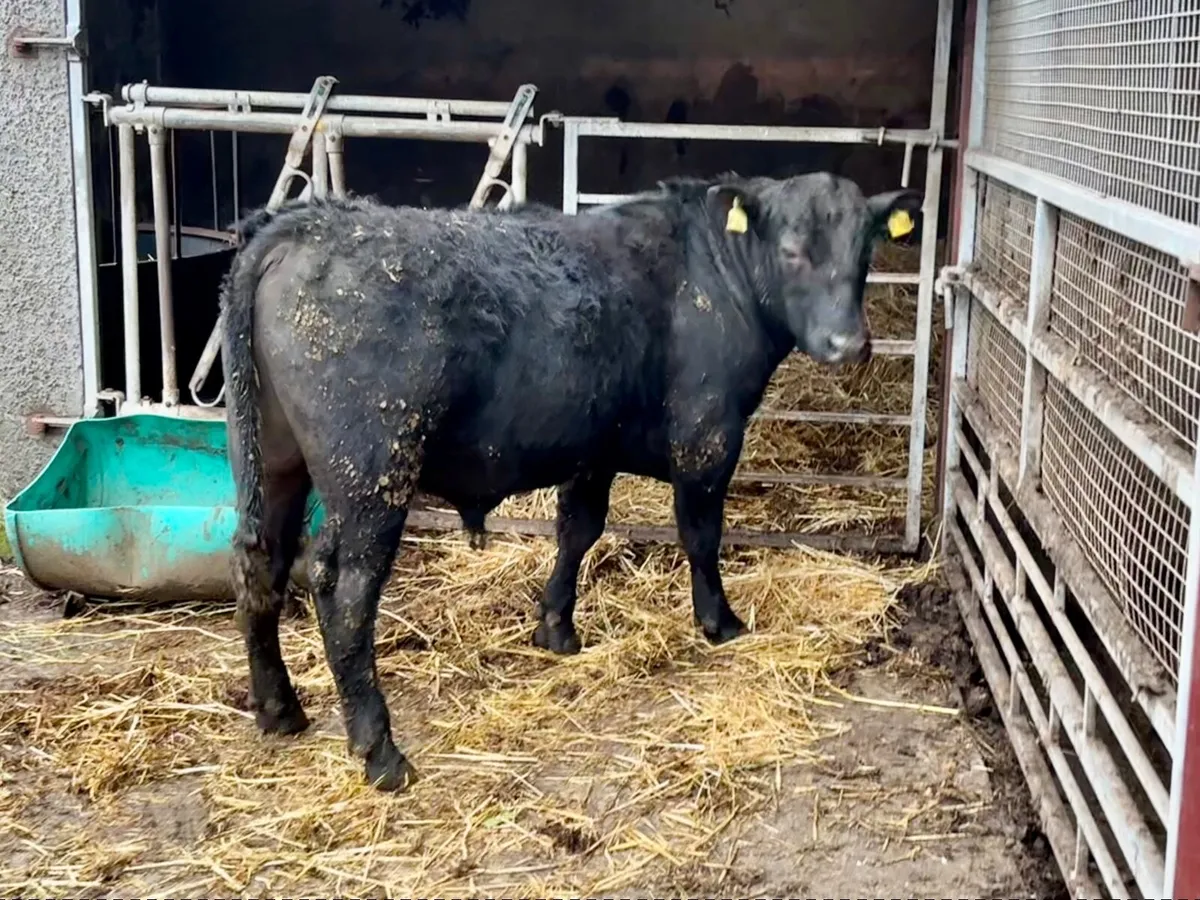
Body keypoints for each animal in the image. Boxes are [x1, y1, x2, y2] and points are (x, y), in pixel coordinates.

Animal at [219, 172, 922, 792]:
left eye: (865, 251)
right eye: (793, 250)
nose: (849, 342)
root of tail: (303, 224)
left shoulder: (593, 447)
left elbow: (578, 530)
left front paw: (556, 628)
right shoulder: (707, 436)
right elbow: (700, 534)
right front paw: (720, 621)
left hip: (277, 462)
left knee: (261, 564)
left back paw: (279, 709)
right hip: (372, 474)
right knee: (343, 592)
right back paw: (380, 751)